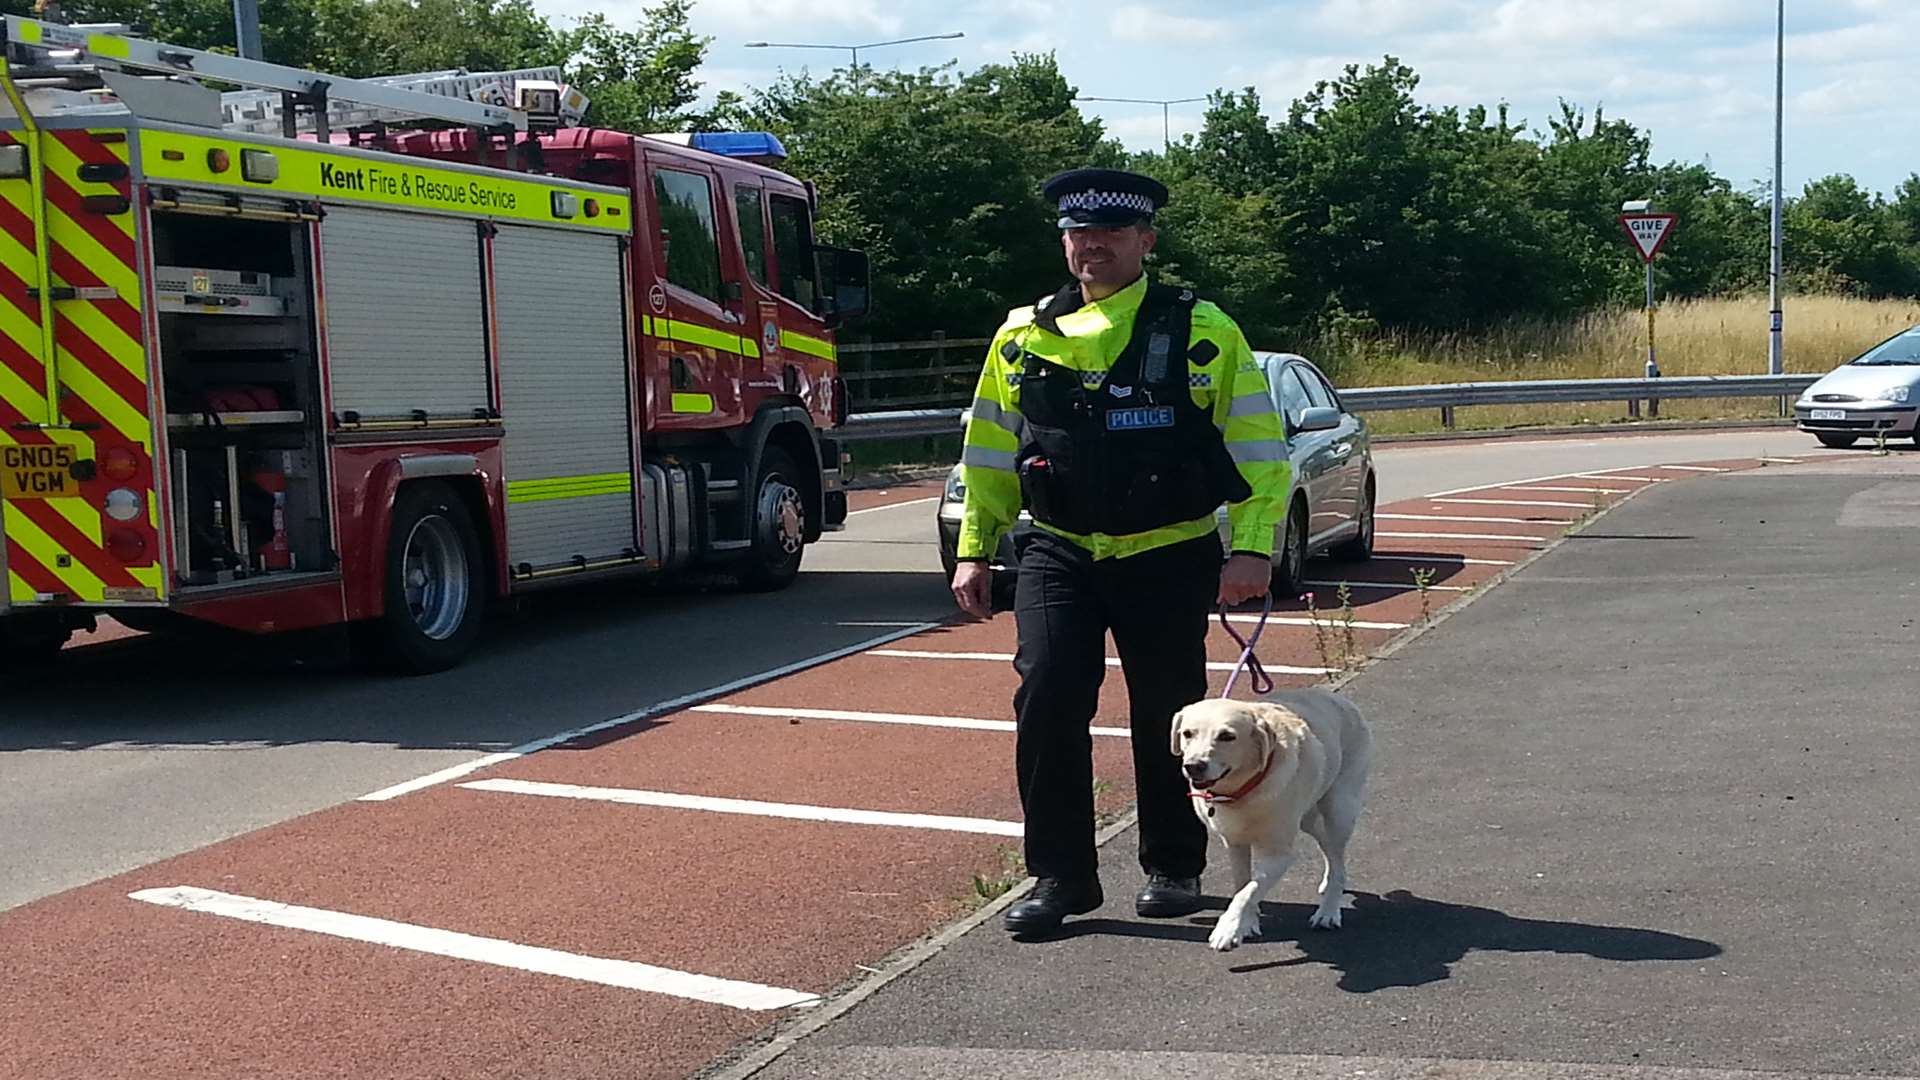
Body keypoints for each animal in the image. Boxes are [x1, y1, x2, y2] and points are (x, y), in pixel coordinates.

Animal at [1159, 687, 1374, 949]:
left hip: (1339, 809)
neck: (1242, 792)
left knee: (1338, 857)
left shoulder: (1279, 854)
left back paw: (1329, 910)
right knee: (1329, 849)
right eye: (1187, 733)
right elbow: (1243, 885)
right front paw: (1247, 923)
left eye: (1227, 736)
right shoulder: (1235, 843)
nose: (1193, 766)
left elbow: (1248, 891)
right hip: (1308, 818)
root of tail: (1335, 697)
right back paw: (1327, 883)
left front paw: (1228, 928)